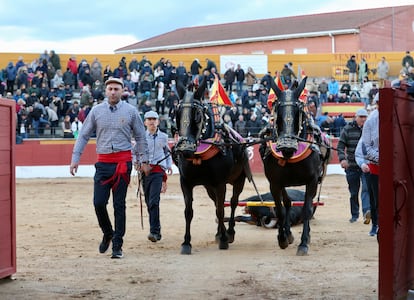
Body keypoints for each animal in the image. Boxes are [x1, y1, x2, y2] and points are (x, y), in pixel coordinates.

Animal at [172, 74, 251, 254]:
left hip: (239, 180)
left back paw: (229, 232)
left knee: (233, 202)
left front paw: (224, 240)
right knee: (216, 203)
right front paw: (186, 243)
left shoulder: (220, 183)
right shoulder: (185, 182)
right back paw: (220, 232)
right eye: (177, 113)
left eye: (198, 114)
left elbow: (222, 210)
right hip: (209, 187)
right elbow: (189, 211)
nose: (185, 148)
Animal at [260, 77, 332, 255]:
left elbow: (307, 209)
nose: (287, 145)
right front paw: (283, 238)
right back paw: (288, 233)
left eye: (298, 111)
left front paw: (304, 243)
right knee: (287, 202)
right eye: (276, 111)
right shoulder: (275, 182)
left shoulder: (312, 180)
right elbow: (279, 210)